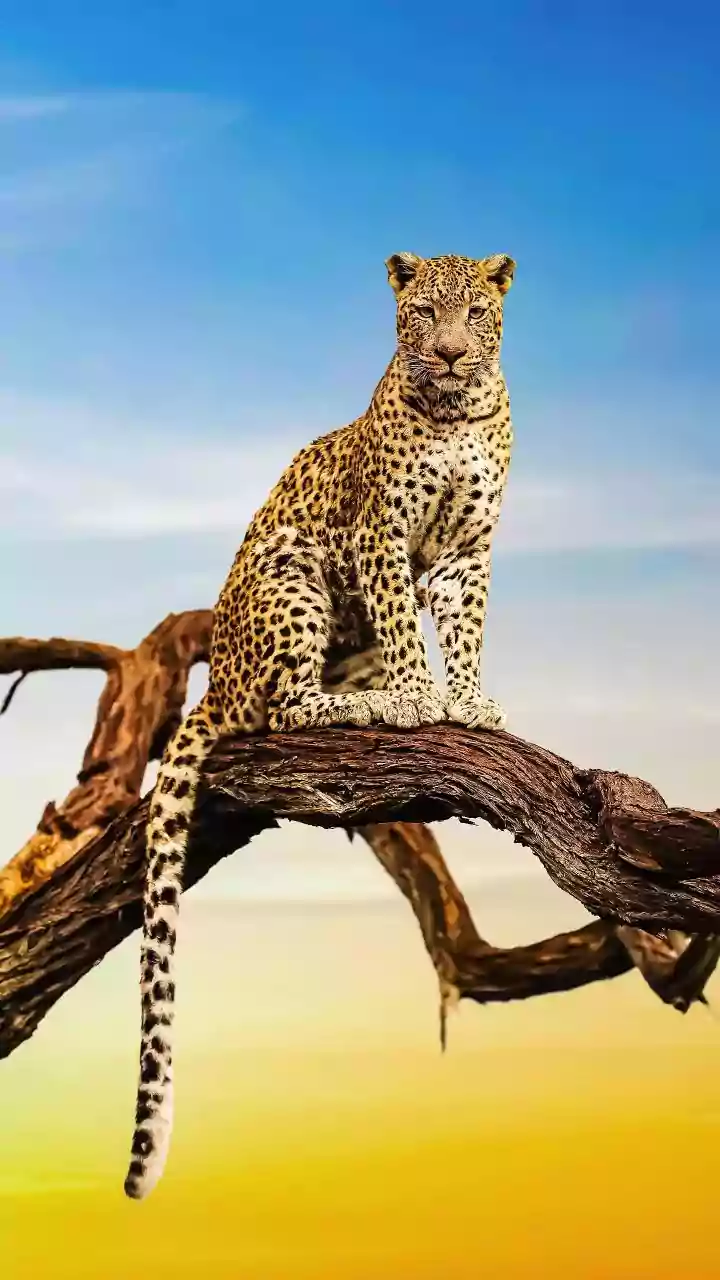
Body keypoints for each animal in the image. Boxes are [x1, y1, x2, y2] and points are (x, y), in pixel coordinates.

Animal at [124, 249, 516, 1200]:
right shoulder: (380, 533)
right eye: (423, 314)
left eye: (476, 314)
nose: (449, 356)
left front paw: (469, 698)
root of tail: (216, 679)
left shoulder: (469, 551)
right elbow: (405, 621)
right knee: (280, 709)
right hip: (293, 577)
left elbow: (466, 626)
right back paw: (364, 704)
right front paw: (417, 699)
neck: (457, 412)